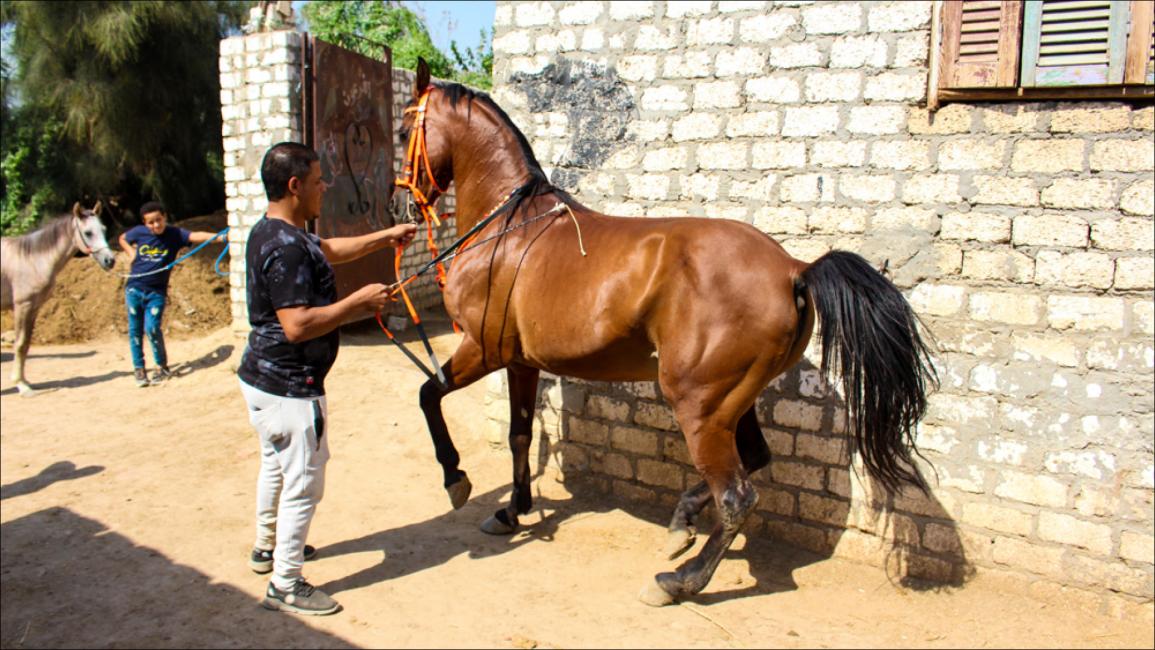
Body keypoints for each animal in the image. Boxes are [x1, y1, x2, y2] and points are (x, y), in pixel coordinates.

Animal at [397, 58, 937, 609]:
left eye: (402, 131)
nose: (402, 203)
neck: (511, 231)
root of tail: (794, 269)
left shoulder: (482, 351)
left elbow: (428, 395)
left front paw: (456, 479)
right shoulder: (521, 362)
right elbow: (520, 434)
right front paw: (511, 511)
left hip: (699, 404)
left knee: (737, 497)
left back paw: (679, 581)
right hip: (731, 401)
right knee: (753, 460)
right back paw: (682, 524)